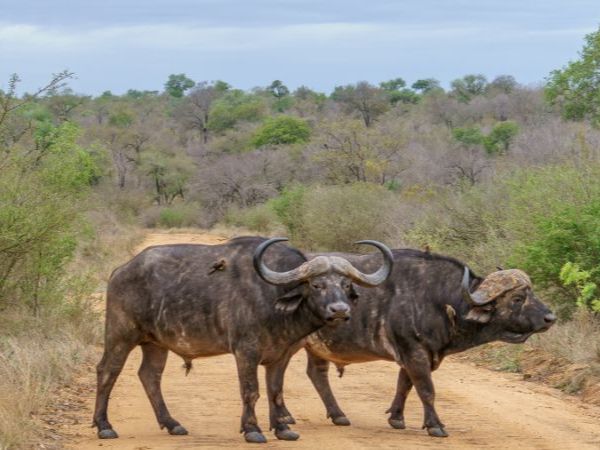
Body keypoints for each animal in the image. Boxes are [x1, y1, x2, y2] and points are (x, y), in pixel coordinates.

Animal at [92, 236, 394, 442]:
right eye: (316, 284)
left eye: (345, 284)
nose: (339, 311)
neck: (272, 296)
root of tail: (121, 271)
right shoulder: (245, 352)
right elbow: (251, 390)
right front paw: (252, 429)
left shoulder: (281, 355)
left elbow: (275, 391)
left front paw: (282, 429)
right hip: (120, 334)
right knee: (107, 371)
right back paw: (104, 426)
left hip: (155, 343)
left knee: (149, 376)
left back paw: (172, 423)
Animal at [292, 248, 556, 438]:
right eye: (517, 298)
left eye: (531, 294)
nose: (550, 318)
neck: (438, 299)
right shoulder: (414, 352)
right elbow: (426, 390)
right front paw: (435, 425)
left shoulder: (417, 355)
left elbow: (405, 385)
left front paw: (397, 418)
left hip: (317, 348)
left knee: (317, 374)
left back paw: (337, 415)